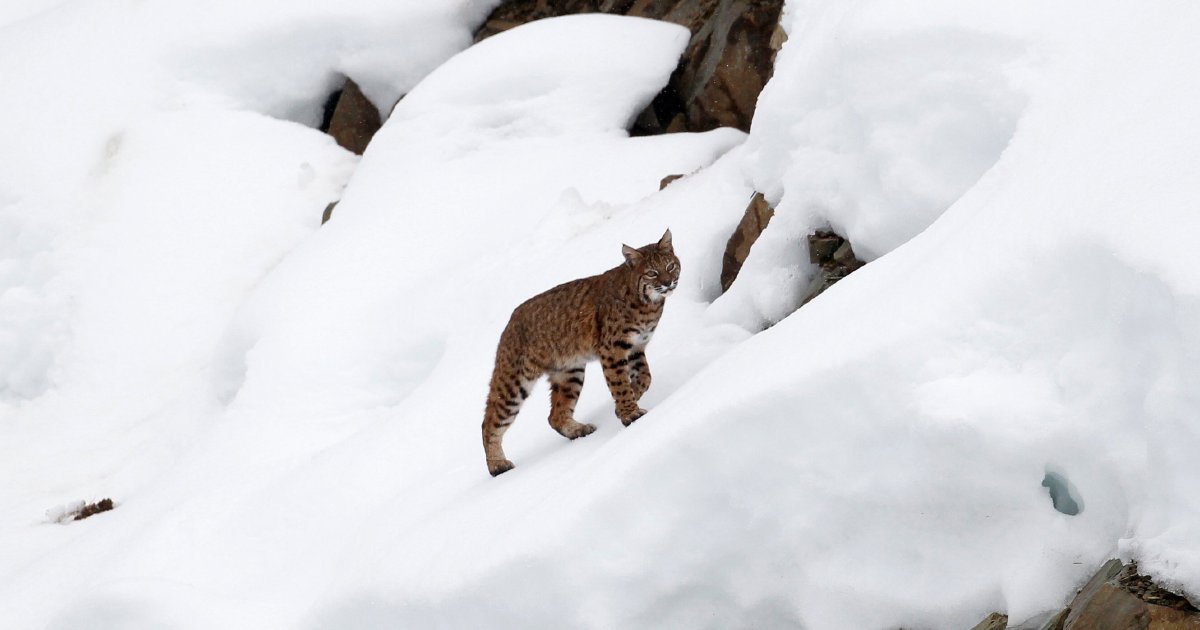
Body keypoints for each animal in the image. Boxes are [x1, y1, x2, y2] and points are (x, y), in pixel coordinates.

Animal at [480, 228, 686, 475]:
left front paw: (625, 405)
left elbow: (645, 377)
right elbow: (619, 384)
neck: (648, 303)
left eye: (670, 266)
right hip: (514, 381)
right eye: (652, 273)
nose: (669, 282)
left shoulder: (636, 346)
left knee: (555, 416)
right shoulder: (613, 349)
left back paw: (577, 430)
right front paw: (630, 414)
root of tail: (510, 320)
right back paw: (497, 465)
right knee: (489, 420)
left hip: (570, 371)